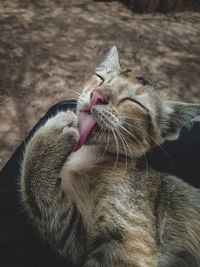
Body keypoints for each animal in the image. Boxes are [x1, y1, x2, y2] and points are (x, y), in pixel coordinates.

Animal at [20, 47, 200, 266]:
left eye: (133, 102)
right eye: (100, 79)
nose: (96, 95)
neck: (88, 155)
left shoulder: (124, 249)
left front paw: (50, 137)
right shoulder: (78, 240)